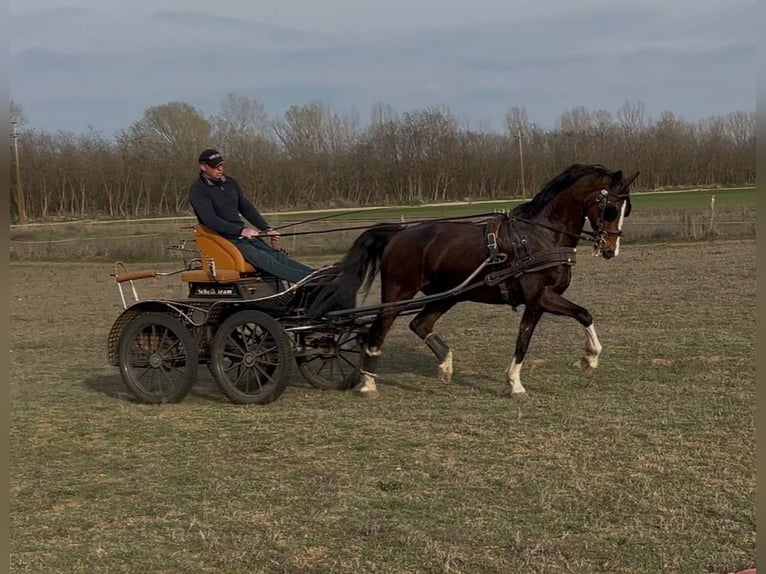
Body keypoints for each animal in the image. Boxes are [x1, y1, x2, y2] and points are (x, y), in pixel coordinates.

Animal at [309, 163, 640, 398]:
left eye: (626, 209)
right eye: (611, 208)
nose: (610, 250)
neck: (539, 236)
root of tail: (398, 233)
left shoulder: (536, 303)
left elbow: (524, 340)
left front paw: (515, 383)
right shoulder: (541, 297)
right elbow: (583, 314)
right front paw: (589, 360)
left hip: (447, 294)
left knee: (420, 324)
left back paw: (444, 365)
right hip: (397, 293)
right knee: (378, 329)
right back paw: (367, 383)